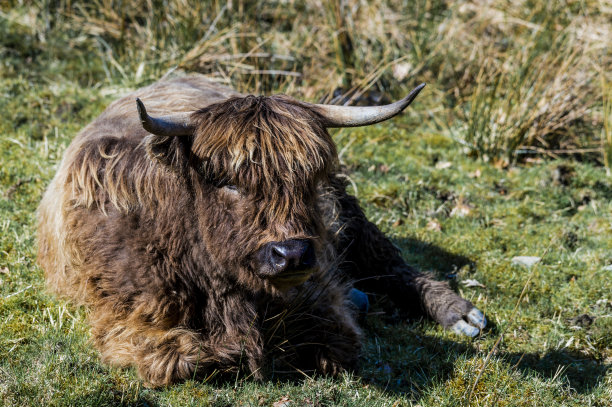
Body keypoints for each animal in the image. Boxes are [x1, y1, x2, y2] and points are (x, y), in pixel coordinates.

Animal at [38, 74, 488, 388]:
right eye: (227, 181)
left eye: (308, 178)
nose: (291, 254)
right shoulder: (131, 324)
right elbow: (190, 358)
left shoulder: (323, 300)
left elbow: (330, 338)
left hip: (348, 209)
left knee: (388, 259)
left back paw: (460, 313)